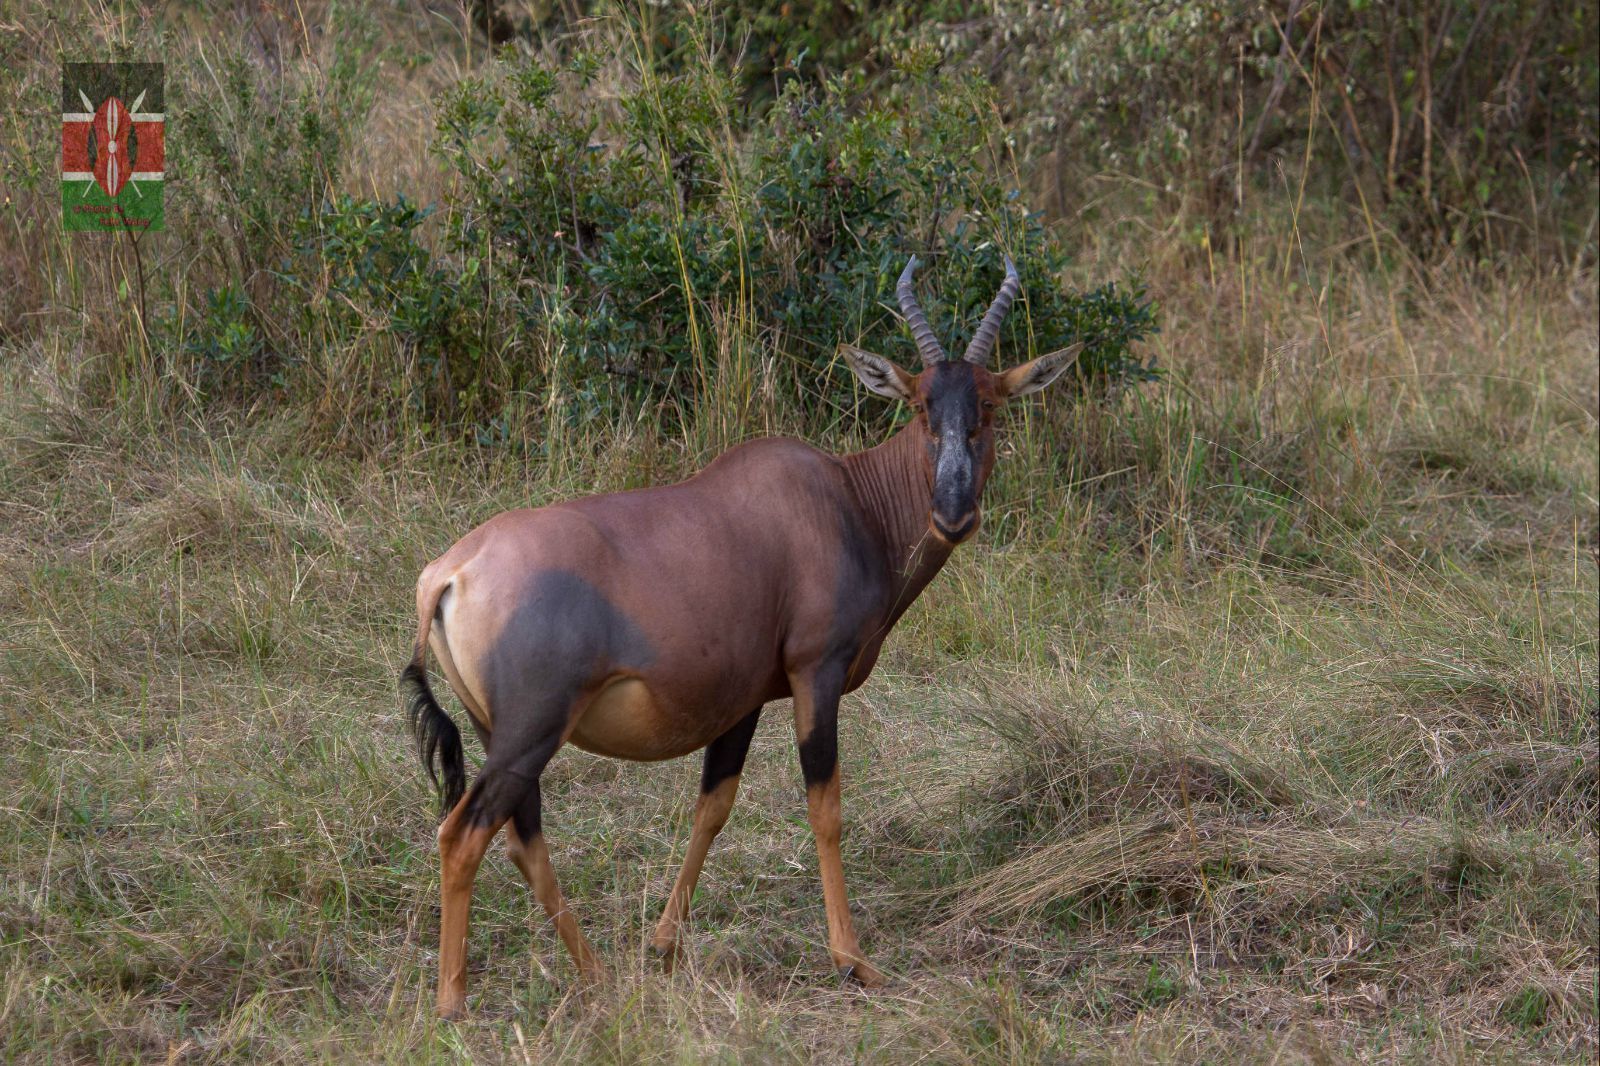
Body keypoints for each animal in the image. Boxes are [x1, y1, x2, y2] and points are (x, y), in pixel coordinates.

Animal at [403, 252, 1088, 1017]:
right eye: (919, 406)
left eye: (989, 406)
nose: (953, 514)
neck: (845, 499)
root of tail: (449, 572)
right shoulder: (816, 674)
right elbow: (825, 806)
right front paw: (854, 961)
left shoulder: (746, 698)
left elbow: (714, 806)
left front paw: (664, 944)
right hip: (530, 731)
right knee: (463, 834)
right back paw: (452, 1002)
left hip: (503, 734)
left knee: (524, 841)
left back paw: (598, 975)